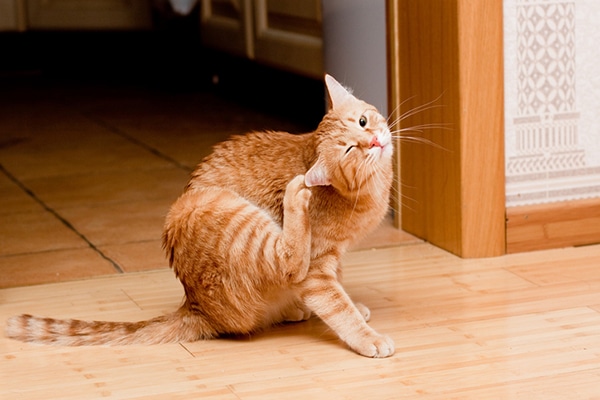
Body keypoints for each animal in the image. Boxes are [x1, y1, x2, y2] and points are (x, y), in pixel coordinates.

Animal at [8, 75, 398, 360]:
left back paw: (293, 309)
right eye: (349, 149)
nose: (374, 142)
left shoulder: (334, 259)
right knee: (287, 260)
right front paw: (368, 337)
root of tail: (196, 306)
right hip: (217, 209)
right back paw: (294, 195)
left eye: (364, 121)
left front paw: (351, 306)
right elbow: (335, 304)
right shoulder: (317, 268)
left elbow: (338, 290)